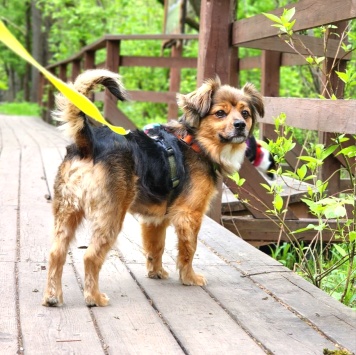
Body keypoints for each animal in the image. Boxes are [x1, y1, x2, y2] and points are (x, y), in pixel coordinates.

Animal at [41, 70, 264, 308]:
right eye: (220, 113)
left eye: (245, 113)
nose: (240, 124)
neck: (195, 142)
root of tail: (89, 144)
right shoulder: (189, 215)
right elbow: (189, 250)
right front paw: (189, 278)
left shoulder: (156, 220)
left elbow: (156, 247)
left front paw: (156, 272)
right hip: (110, 217)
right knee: (91, 257)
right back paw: (94, 298)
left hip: (67, 212)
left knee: (56, 253)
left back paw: (53, 296)